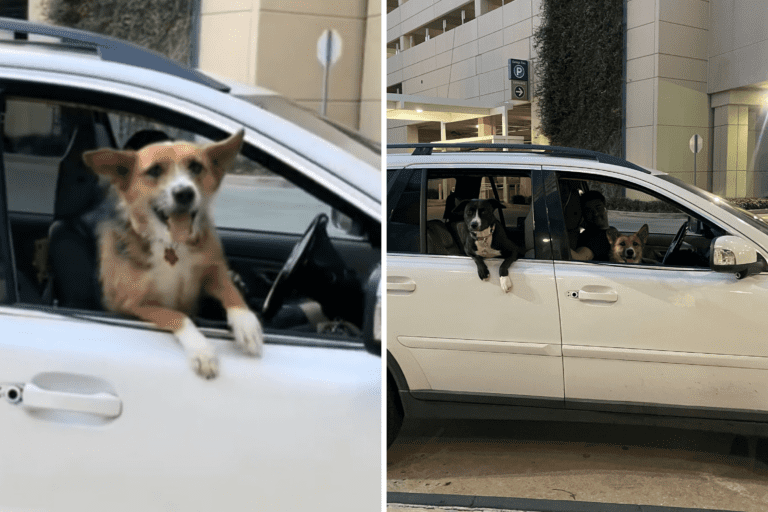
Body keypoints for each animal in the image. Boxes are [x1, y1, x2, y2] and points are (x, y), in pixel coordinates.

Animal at [83, 129, 262, 376]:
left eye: (196, 167)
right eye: (155, 170)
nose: (184, 193)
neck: (171, 245)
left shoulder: (211, 271)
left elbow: (231, 291)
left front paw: (247, 325)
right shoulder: (130, 304)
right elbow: (178, 315)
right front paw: (202, 350)